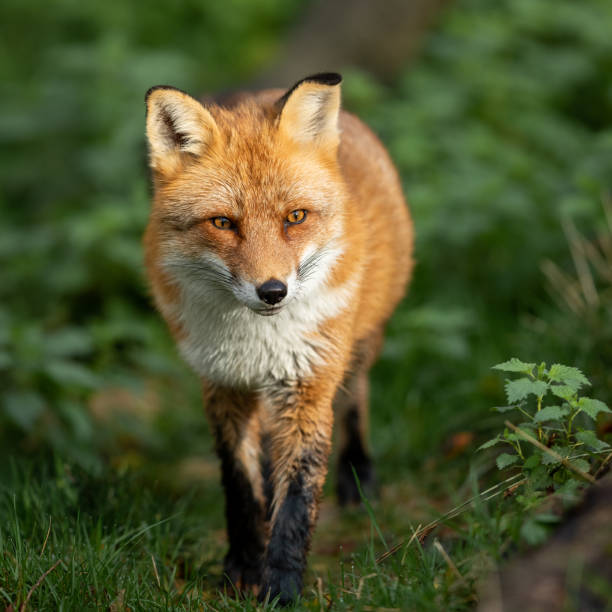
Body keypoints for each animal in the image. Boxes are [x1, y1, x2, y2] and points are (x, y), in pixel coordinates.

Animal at [142, 74, 416, 604]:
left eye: (295, 217)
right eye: (223, 222)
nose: (272, 291)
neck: (257, 341)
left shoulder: (308, 387)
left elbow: (298, 500)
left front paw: (283, 587)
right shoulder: (224, 386)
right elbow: (241, 488)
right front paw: (243, 569)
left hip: (358, 345)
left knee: (356, 398)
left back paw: (359, 474)